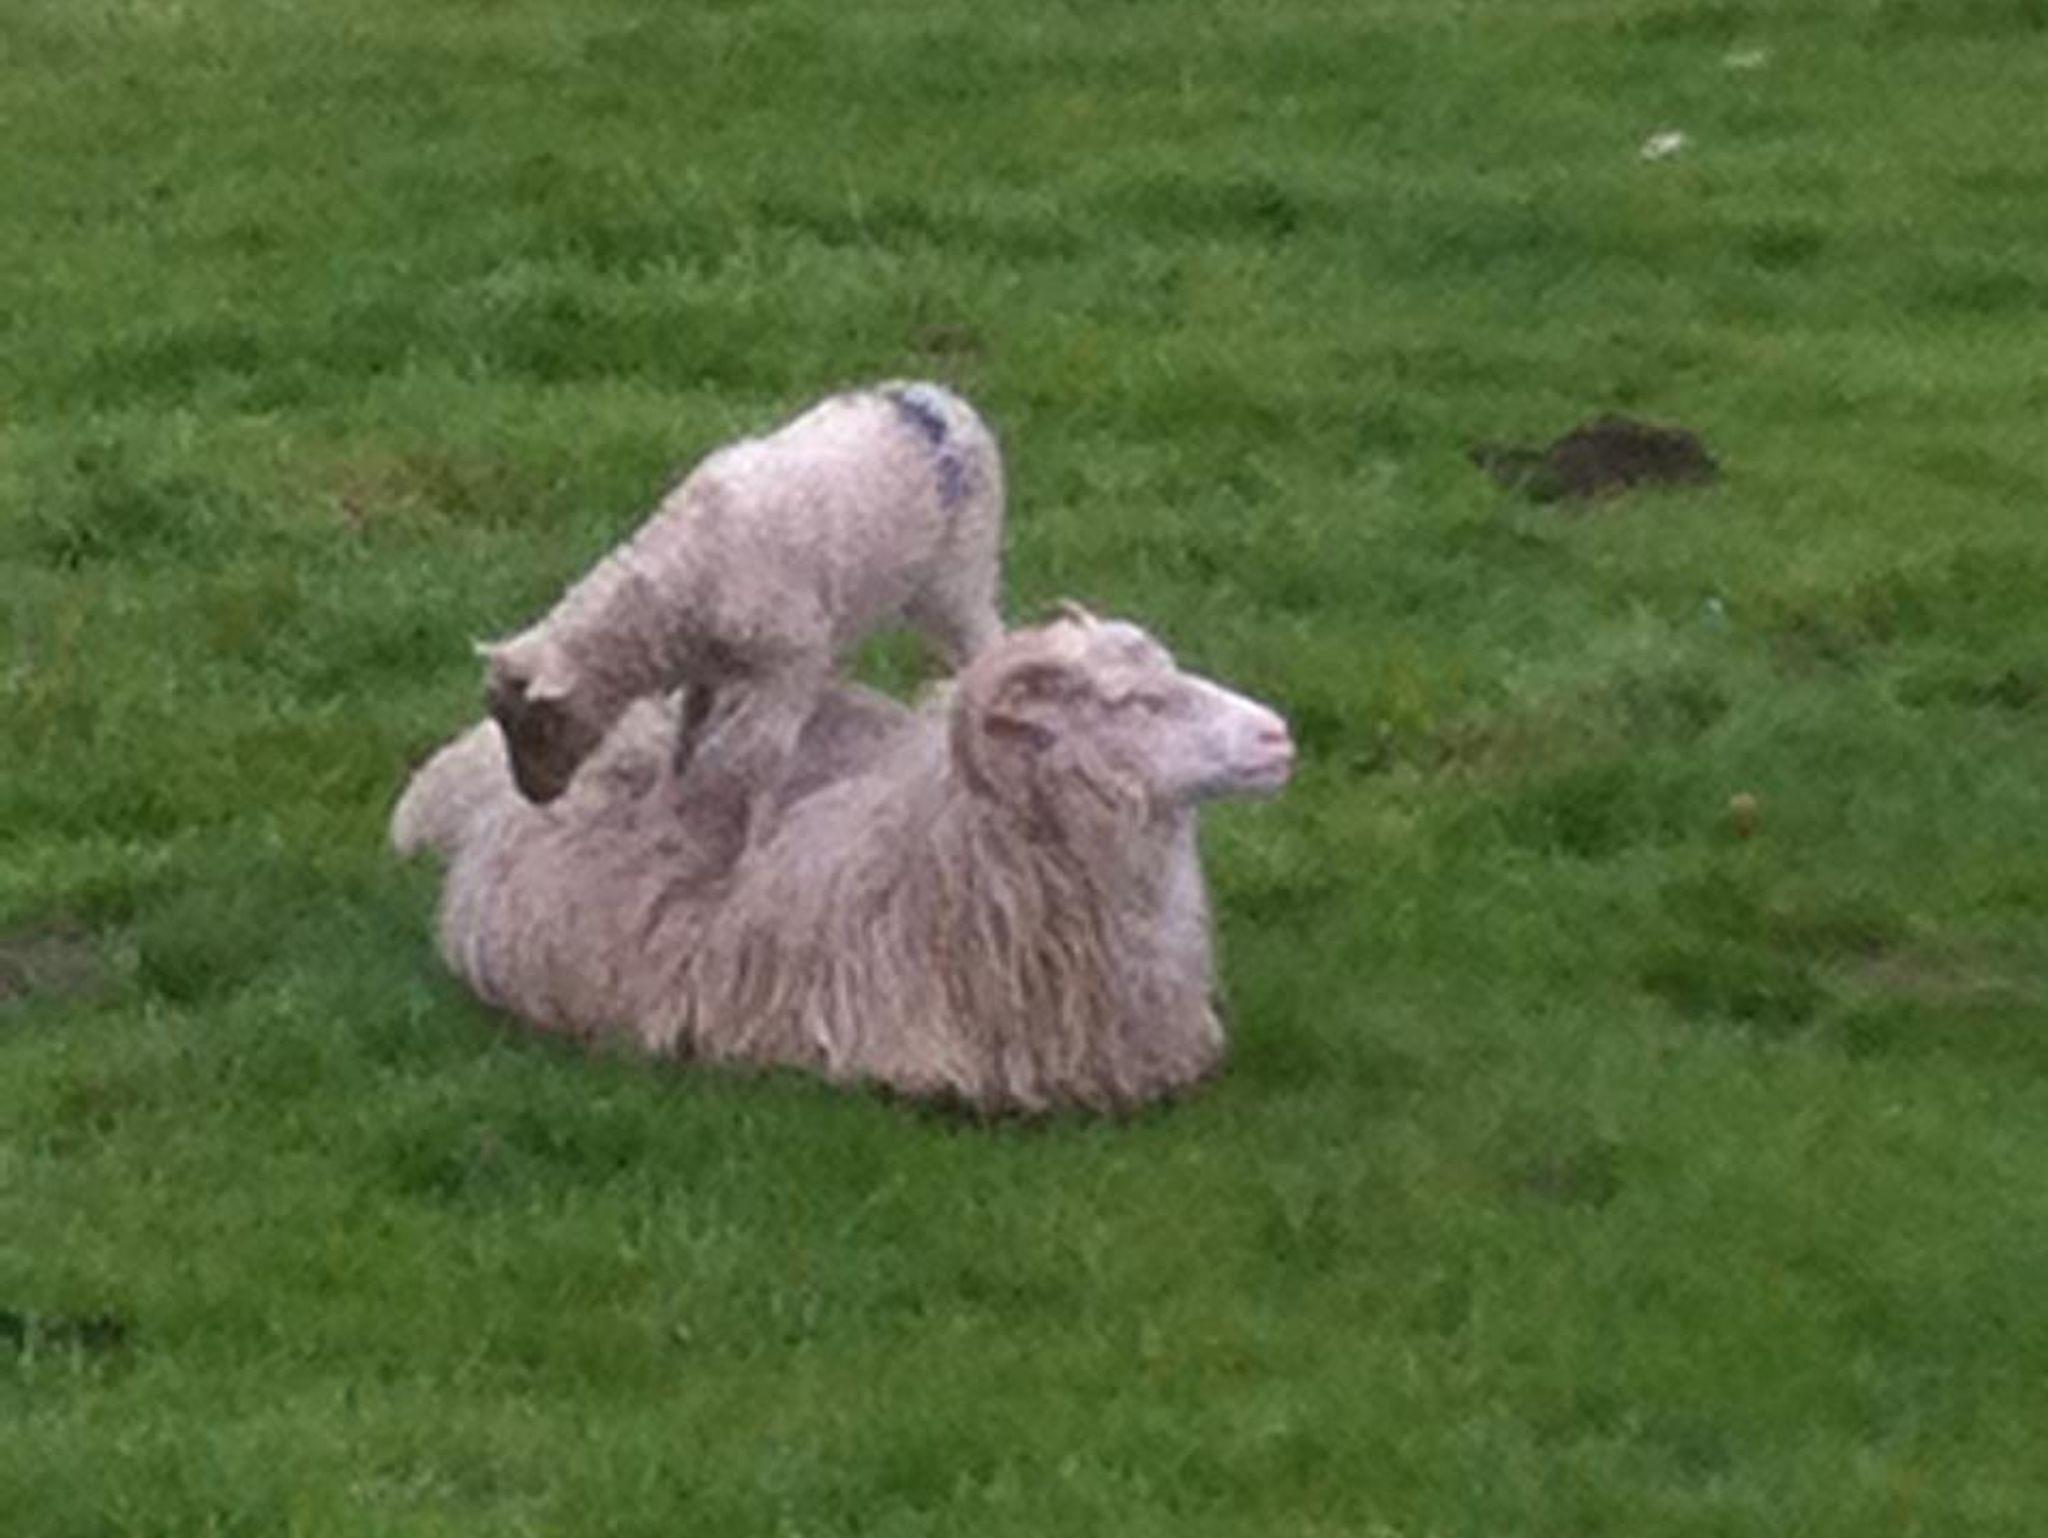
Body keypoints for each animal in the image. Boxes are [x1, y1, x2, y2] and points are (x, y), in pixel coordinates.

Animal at [480, 380, 1007, 848]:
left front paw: (754, 843)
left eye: (541, 723)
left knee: (986, 644)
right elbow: (686, 735)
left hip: (958, 579)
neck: (689, 567)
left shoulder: (793, 660)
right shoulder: (708, 665)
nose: (534, 796)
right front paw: (659, 809)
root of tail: (942, 402)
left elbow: (765, 759)